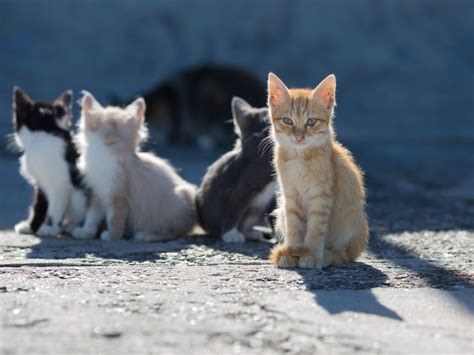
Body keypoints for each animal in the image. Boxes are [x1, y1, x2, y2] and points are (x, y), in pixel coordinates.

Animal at [12, 87, 87, 236]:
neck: (45, 133)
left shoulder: (60, 185)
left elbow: (54, 207)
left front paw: (50, 227)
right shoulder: (41, 182)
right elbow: (39, 205)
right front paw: (30, 226)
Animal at [71, 92, 196, 242]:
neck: (109, 153)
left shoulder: (119, 196)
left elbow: (114, 220)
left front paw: (112, 236)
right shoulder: (99, 192)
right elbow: (92, 214)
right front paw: (86, 232)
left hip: (178, 202)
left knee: (175, 233)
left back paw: (146, 235)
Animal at [268, 73, 368, 270]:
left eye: (311, 122)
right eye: (288, 121)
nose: (298, 136)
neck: (299, 157)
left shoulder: (321, 197)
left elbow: (315, 230)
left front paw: (312, 256)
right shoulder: (289, 197)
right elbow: (294, 227)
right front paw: (292, 252)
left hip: (351, 222)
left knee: (344, 254)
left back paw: (327, 256)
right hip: (281, 211)